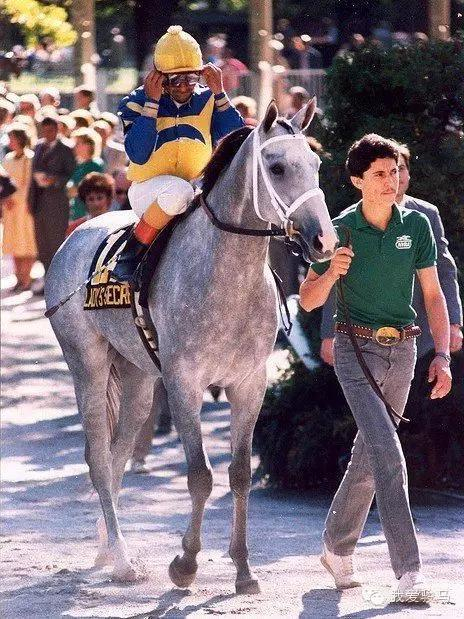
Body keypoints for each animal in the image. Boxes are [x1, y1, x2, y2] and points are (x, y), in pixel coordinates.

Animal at [45, 100, 338, 593]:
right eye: (277, 167)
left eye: (317, 164)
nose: (324, 240)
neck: (226, 275)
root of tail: (74, 237)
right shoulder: (184, 382)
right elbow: (200, 476)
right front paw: (185, 563)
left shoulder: (249, 383)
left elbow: (239, 474)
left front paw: (243, 570)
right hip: (87, 364)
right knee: (99, 455)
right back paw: (121, 559)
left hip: (138, 377)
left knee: (120, 450)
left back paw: (108, 546)